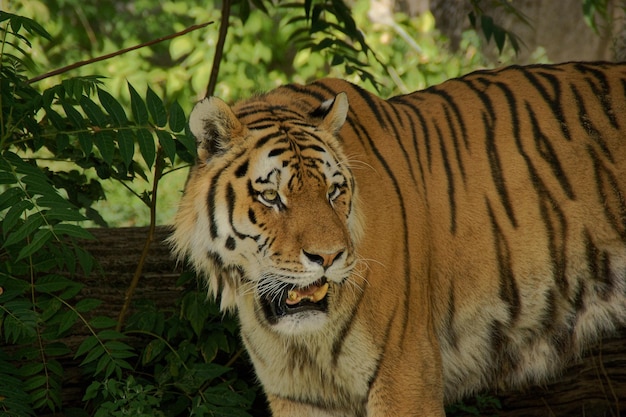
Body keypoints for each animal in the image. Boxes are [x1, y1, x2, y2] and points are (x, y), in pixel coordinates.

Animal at [168, 60, 624, 414]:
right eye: (271, 196)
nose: (328, 257)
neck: (300, 342)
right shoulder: (297, 396)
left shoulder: (406, 373)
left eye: (333, 191)